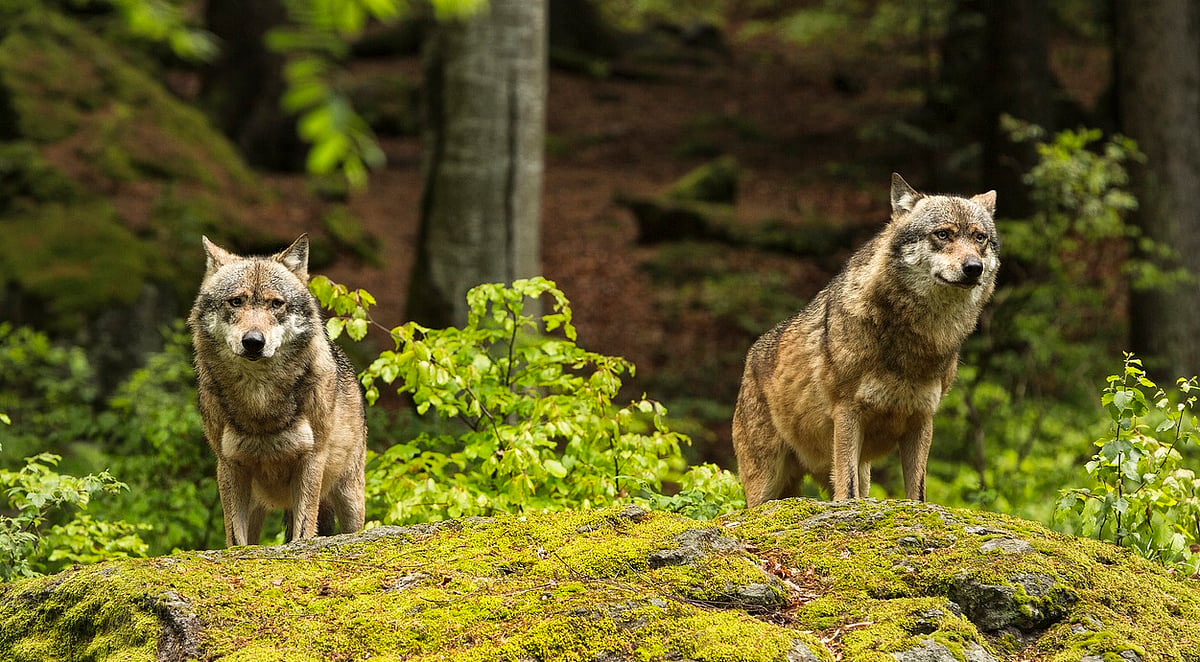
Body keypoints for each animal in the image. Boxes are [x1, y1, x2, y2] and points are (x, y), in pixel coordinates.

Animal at [189, 234, 366, 546]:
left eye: (275, 304)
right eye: (236, 301)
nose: (253, 341)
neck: (260, 400)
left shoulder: (311, 460)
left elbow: (303, 532)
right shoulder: (228, 465)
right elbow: (236, 539)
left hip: (349, 497)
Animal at [732, 173, 999, 505]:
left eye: (979, 238)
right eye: (943, 234)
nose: (974, 268)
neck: (915, 341)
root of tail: (750, 356)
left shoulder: (922, 419)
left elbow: (917, 494)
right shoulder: (847, 413)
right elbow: (847, 492)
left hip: (861, 472)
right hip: (765, 486)